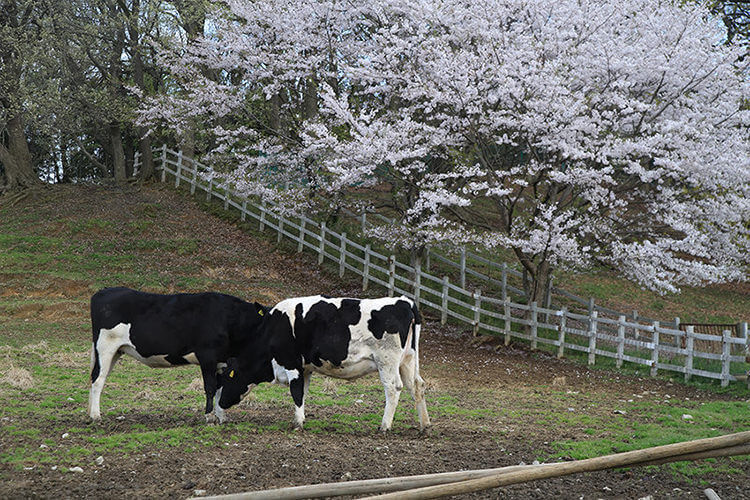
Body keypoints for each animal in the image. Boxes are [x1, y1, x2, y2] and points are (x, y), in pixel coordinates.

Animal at [88, 288, 268, 424]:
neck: (229, 318)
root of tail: (103, 292)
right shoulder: (207, 356)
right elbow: (210, 387)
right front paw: (209, 416)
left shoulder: (221, 361)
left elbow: (219, 388)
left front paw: (221, 416)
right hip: (105, 347)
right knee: (98, 379)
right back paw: (96, 416)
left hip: (116, 351)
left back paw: (90, 412)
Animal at [219, 294, 428, 432]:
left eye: (228, 378)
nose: (220, 404)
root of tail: (405, 301)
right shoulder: (304, 369)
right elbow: (302, 393)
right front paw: (300, 418)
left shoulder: (292, 364)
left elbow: (296, 392)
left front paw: (298, 424)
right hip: (407, 360)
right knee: (416, 386)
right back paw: (424, 425)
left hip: (387, 361)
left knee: (393, 388)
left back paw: (384, 426)